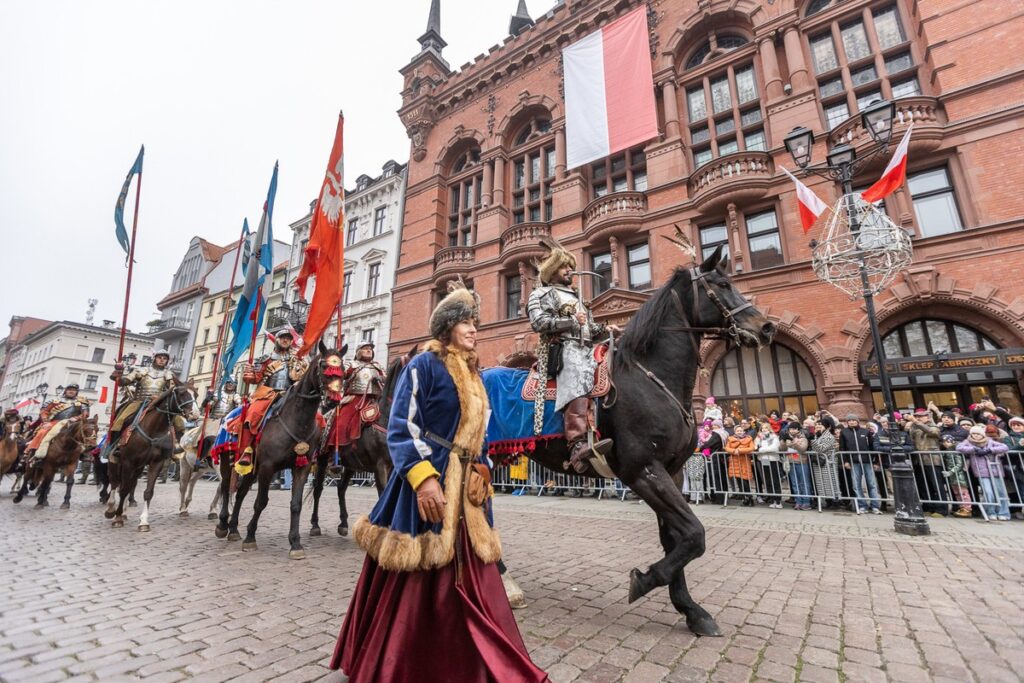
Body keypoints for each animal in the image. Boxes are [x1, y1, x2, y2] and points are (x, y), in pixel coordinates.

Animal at [103, 387, 197, 532]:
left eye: (195, 395)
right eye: (181, 393)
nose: (195, 414)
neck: (154, 429)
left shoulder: (156, 463)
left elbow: (148, 492)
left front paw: (143, 522)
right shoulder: (128, 462)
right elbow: (123, 490)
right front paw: (117, 518)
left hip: (139, 467)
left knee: (129, 483)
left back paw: (123, 512)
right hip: (116, 461)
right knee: (114, 482)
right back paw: (111, 509)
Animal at [215, 342, 344, 561]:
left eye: (342, 368)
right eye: (324, 366)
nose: (333, 399)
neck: (297, 419)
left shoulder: (301, 467)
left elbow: (296, 503)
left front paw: (295, 543)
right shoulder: (268, 467)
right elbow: (261, 502)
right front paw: (250, 537)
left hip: (252, 469)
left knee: (240, 493)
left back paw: (233, 529)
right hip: (228, 460)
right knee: (226, 487)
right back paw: (223, 525)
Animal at [485, 246, 770, 634]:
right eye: (722, 285)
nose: (765, 327)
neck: (651, 378)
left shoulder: (672, 472)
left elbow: (676, 538)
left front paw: (690, 609)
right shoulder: (642, 471)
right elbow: (694, 535)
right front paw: (646, 580)